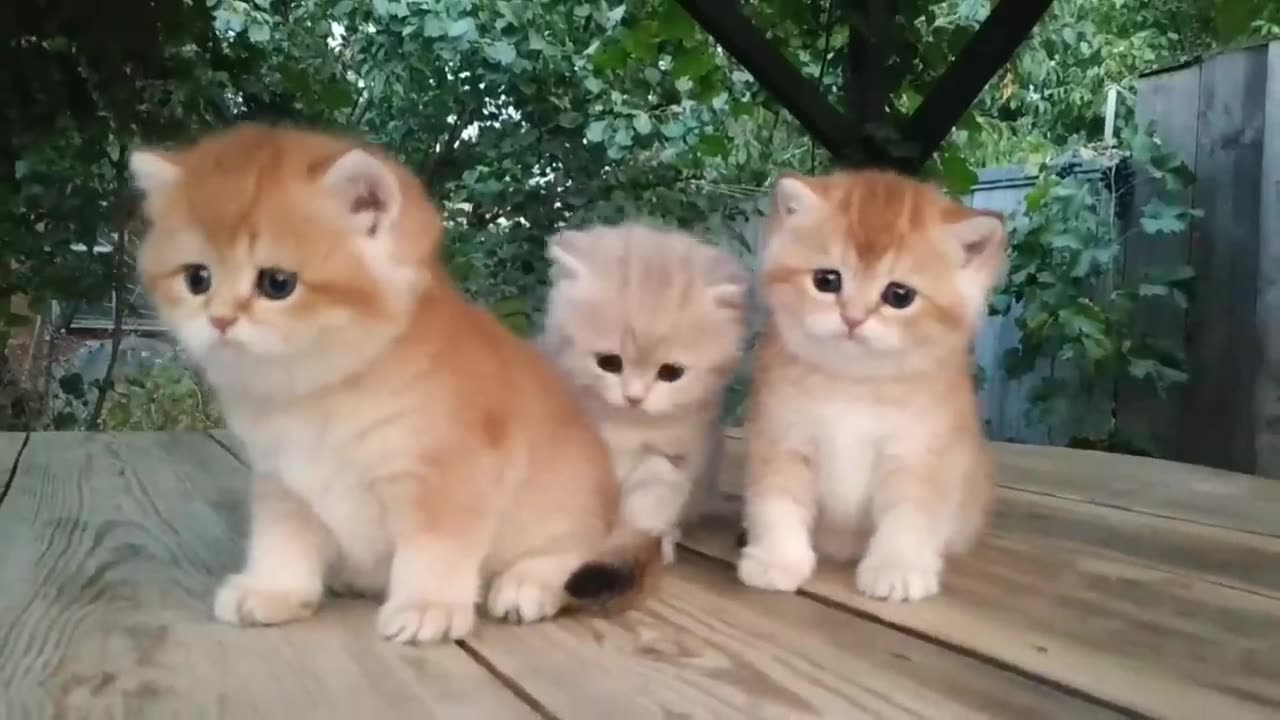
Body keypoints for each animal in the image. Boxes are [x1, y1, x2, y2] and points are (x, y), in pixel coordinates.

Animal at [129, 124, 660, 645]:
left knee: (577, 547)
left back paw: (528, 581)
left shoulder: (449, 477)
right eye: (197, 278)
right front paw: (273, 588)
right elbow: (282, 539)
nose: (219, 320)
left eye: (277, 283)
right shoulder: (283, 481)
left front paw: (428, 606)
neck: (323, 391)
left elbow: (434, 550)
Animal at [540, 221, 747, 563]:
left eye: (671, 373)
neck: (626, 426)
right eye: (609, 363)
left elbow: (652, 495)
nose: (634, 398)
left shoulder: (681, 454)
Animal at [737, 167, 1003, 599]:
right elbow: (777, 503)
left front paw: (899, 567)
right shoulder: (780, 439)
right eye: (827, 280)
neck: (854, 385)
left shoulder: (921, 453)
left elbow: (910, 515)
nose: (853, 318)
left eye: (900, 295)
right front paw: (777, 559)